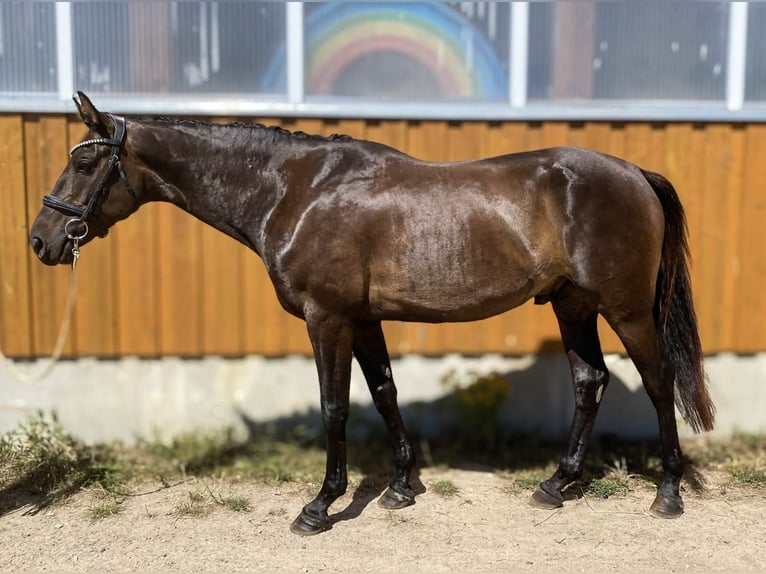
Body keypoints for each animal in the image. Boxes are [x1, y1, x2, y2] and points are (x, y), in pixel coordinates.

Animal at [30, 92, 715, 535]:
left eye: (84, 161)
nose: (41, 241)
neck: (296, 191)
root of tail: (634, 171)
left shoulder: (326, 317)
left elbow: (335, 408)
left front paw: (320, 507)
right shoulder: (362, 319)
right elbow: (384, 392)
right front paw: (401, 487)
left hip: (626, 308)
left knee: (658, 383)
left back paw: (668, 493)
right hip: (572, 304)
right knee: (588, 381)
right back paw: (557, 484)